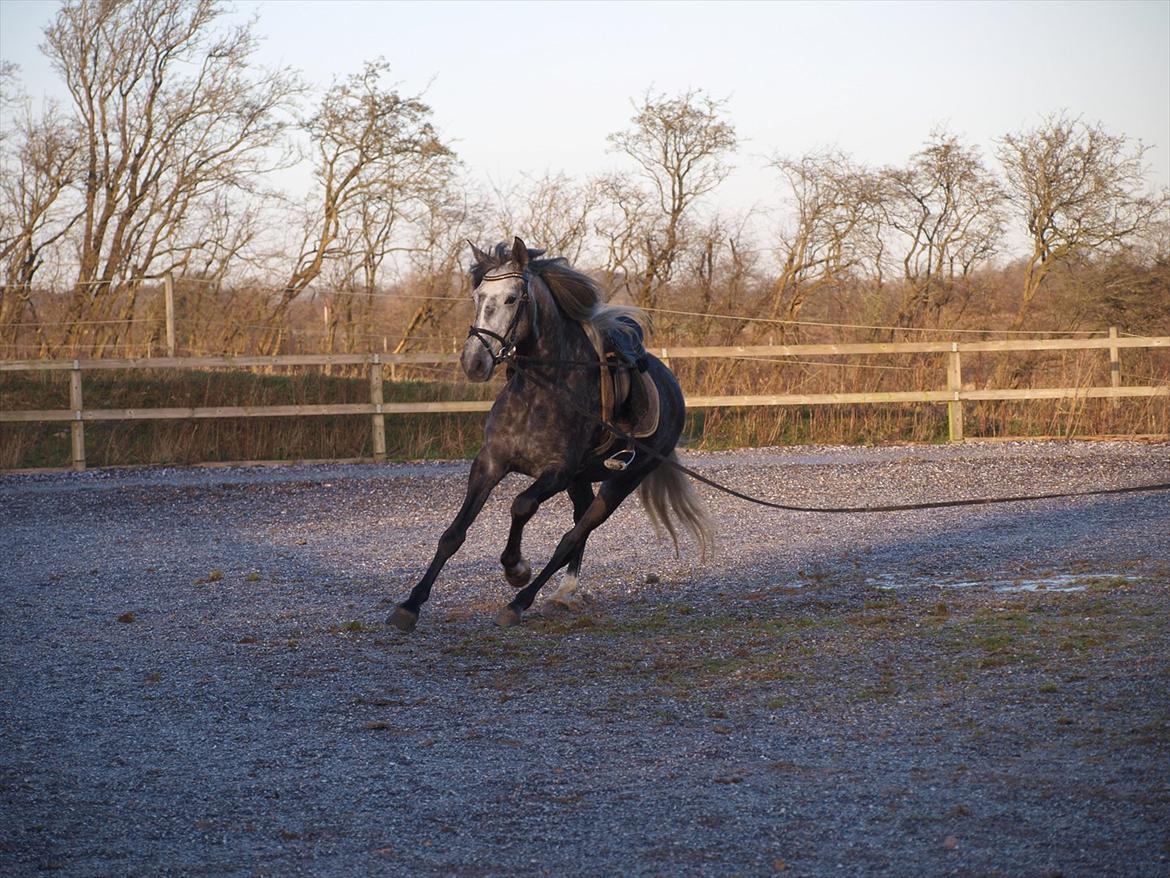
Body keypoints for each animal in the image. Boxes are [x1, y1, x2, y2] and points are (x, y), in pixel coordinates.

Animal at [388, 237, 706, 632]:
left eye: (512, 299)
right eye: (477, 296)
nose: (474, 362)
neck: (541, 390)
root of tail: (672, 387)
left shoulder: (557, 472)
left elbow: (521, 505)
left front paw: (516, 568)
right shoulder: (490, 463)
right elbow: (453, 535)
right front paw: (410, 604)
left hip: (621, 481)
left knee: (574, 535)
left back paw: (521, 601)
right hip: (582, 480)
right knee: (579, 524)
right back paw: (564, 592)